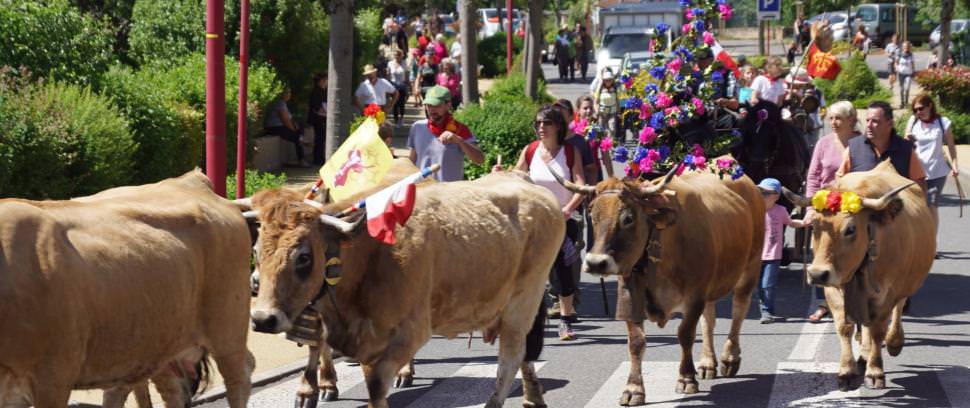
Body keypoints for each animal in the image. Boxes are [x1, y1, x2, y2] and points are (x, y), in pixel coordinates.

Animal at [0, 171, 253, 408]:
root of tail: (193, 180)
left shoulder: (54, 374)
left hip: (227, 324)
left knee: (240, 375)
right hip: (157, 341)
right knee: (163, 389)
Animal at [552, 168, 764, 404]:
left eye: (628, 218)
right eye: (592, 214)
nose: (596, 263)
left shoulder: (694, 297)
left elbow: (685, 335)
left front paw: (686, 378)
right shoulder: (631, 296)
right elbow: (636, 342)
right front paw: (633, 389)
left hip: (750, 268)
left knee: (738, 311)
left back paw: (730, 359)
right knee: (709, 320)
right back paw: (708, 363)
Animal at [784, 160, 932, 392]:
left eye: (851, 229)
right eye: (815, 225)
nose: (816, 274)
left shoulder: (885, 295)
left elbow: (878, 330)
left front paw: (875, 371)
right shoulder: (834, 290)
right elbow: (844, 328)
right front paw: (847, 371)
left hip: (905, 284)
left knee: (898, 309)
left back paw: (893, 342)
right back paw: (863, 354)